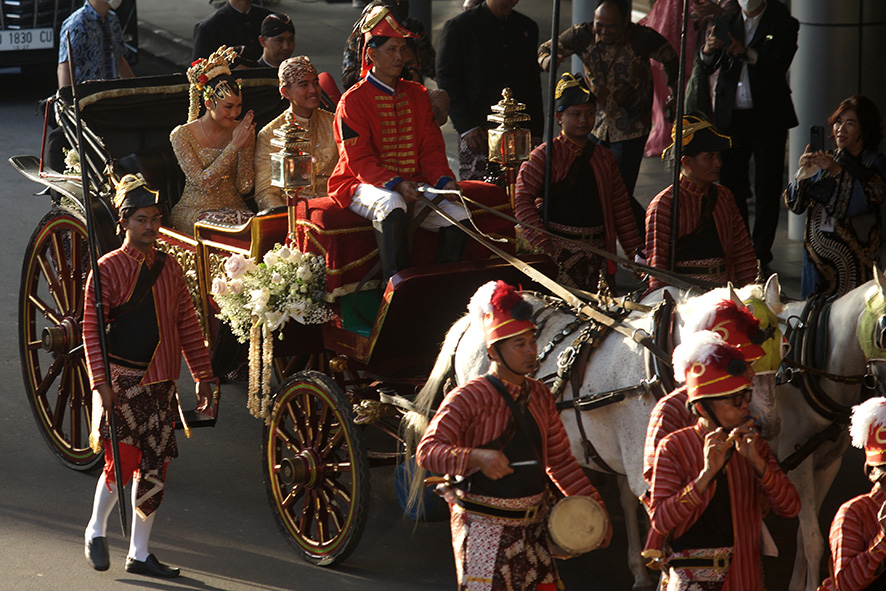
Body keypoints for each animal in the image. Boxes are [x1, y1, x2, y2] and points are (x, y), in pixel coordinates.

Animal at [406, 278, 780, 591]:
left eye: (782, 357)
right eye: (741, 362)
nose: (768, 426)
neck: (659, 357)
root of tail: (469, 320)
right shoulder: (645, 470)